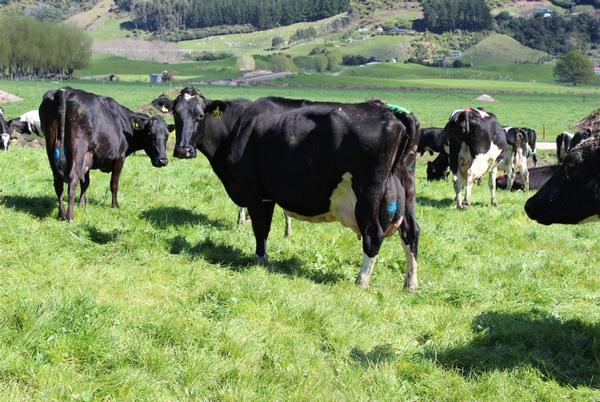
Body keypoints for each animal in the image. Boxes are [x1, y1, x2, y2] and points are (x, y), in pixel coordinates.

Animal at [40, 86, 170, 221]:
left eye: (167, 136)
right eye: (150, 134)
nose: (163, 160)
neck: (124, 124)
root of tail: (65, 90)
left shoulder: (89, 157)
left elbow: (85, 182)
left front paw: (82, 204)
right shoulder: (119, 158)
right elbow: (114, 183)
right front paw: (115, 205)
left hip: (51, 145)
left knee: (58, 182)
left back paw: (61, 213)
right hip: (78, 147)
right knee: (73, 179)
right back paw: (70, 216)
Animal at [152, 88, 420, 288]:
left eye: (200, 116)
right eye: (176, 115)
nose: (183, 150)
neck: (236, 127)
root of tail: (390, 112)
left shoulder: (255, 193)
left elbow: (261, 229)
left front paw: (260, 260)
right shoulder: (266, 195)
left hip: (368, 193)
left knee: (373, 234)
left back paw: (361, 281)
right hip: (407, 188)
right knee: (411, 232)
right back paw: (410, 284)